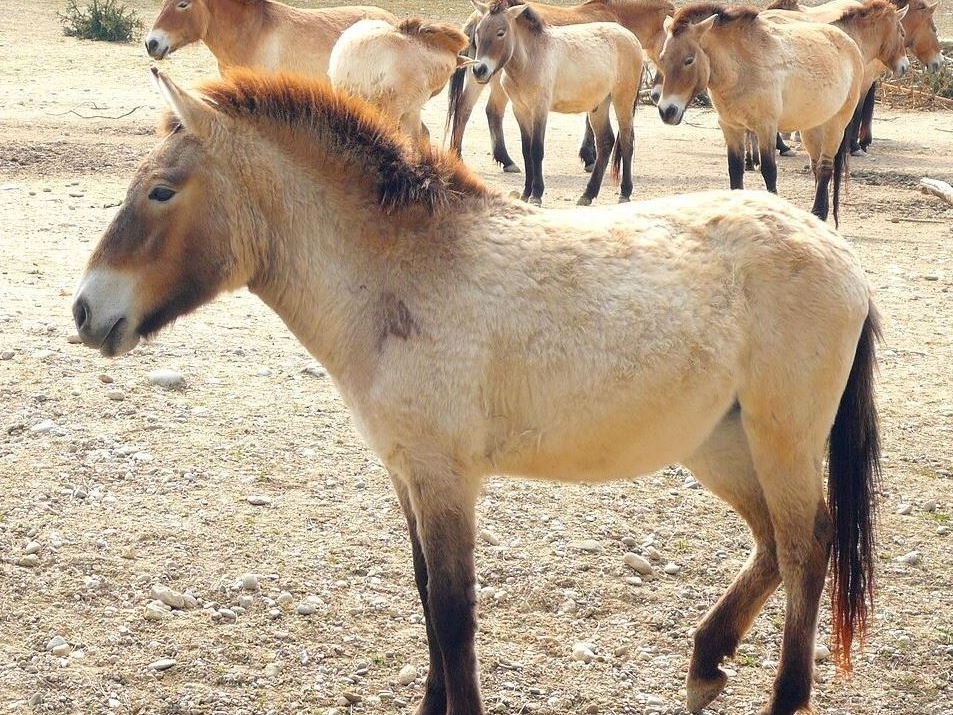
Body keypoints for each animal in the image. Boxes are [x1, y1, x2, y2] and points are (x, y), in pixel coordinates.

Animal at [73, 66, 882, 715]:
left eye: (161, 191)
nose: (85, 311)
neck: (399, 275)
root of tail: (839, 253)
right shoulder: (408, 473)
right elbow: (427, 595)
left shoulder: (446, 477)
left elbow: (455, 611)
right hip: (721, 442)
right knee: (775, 542)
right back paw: (706, 661)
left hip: (780, 439)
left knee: (807, 547)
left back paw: (780, 695)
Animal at [447, 0, 673, 173]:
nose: (657, 94)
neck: (616, 16)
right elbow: (588, 123)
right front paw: (589, 158)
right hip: (492, 78)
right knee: (490, 111)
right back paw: (505, 160)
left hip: (480, 75)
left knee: (465, 108)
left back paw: (459, 157)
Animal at [468, 1, 643, 206]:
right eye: (478, 31)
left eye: (501, 32)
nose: (479, 70)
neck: (531, 59)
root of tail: (631, 37)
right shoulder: (520, 110)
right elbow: (526, 150)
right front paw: (525, 193)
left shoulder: (540, 109)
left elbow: (536, 150)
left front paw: (536, 194)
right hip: (599, 105)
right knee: (606, 142)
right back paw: (587, 195)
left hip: (623, 100)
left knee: (627, 141)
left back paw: (625, 193)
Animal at [655, 2, 864, 224]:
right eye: (662, 59)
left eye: (689, 60)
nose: (667, 111)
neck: (741, 68)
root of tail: (851, 45)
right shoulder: (731, 127)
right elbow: (735, 169)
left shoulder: (766, 128)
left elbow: (769, 171)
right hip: (811, 128)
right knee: (817, 167)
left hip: (836, 125)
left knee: (825, 168)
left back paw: (818, 213)